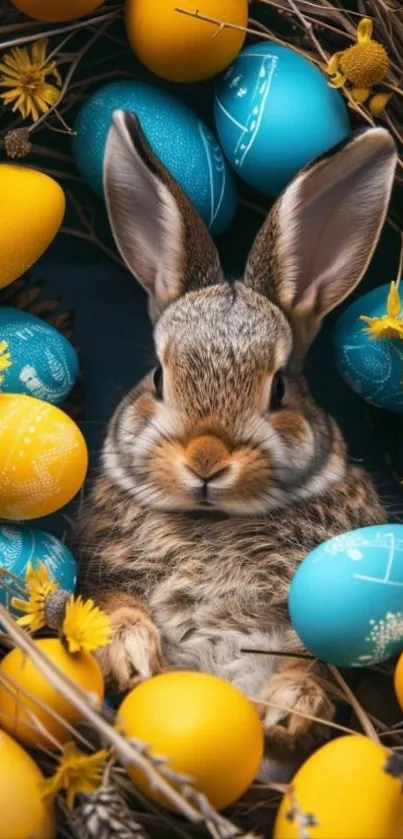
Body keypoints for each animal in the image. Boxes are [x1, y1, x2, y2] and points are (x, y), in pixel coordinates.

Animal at [77, 115, 400, 776]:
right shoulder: (101, 565)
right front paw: (132, 655)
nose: (206, 461)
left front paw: (289, 707)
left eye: (279, 387)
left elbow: (318, 659)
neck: (214, 519)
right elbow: (115, 603)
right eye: (158, 377)